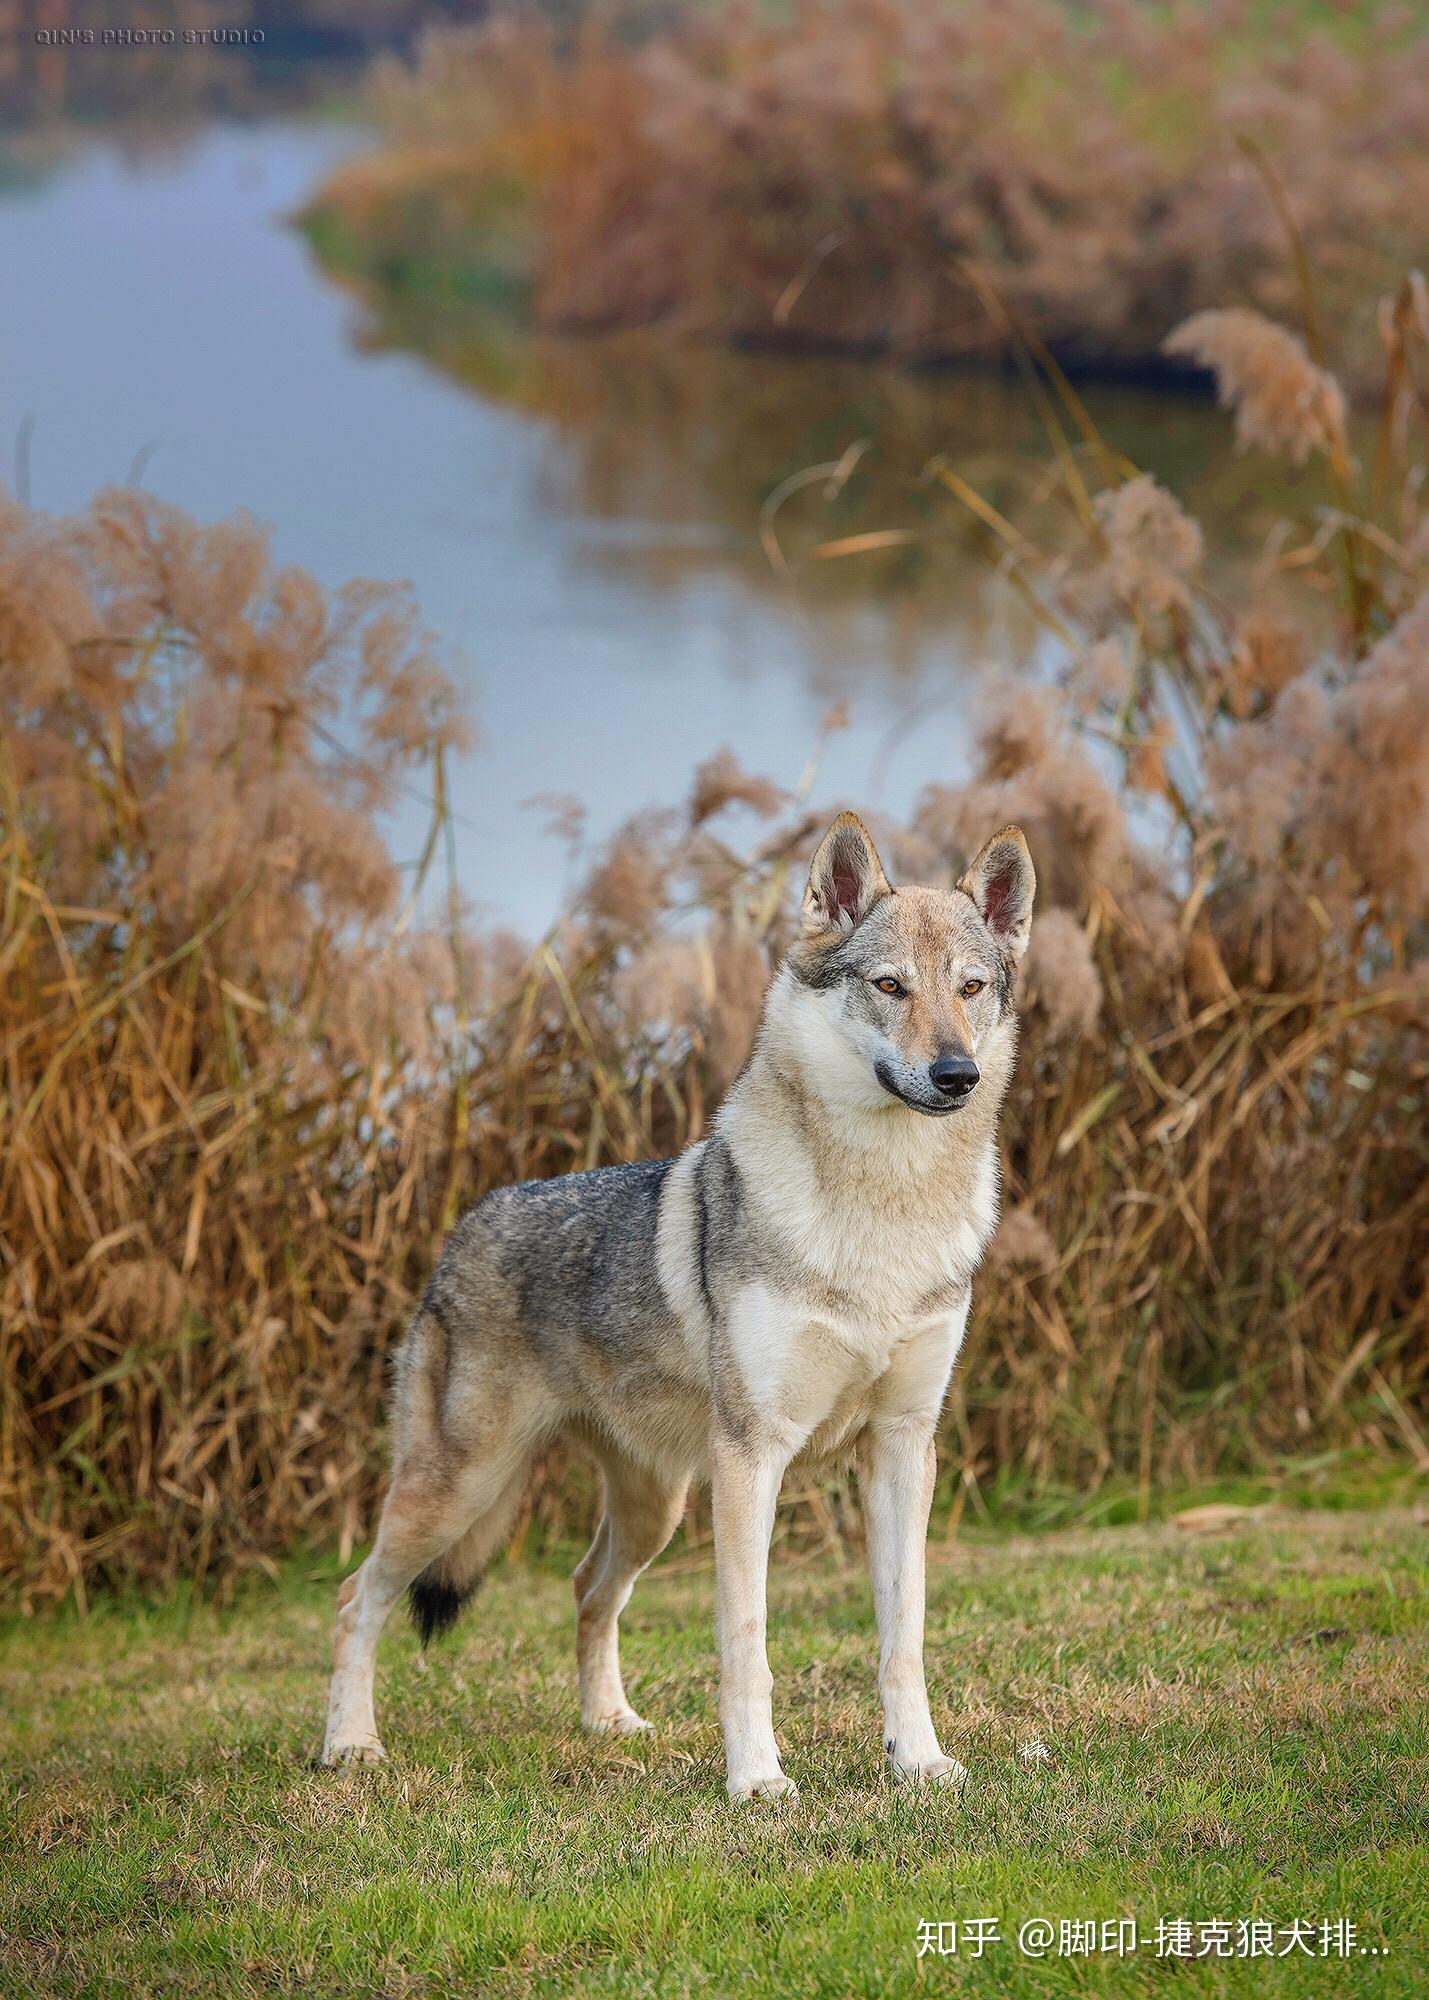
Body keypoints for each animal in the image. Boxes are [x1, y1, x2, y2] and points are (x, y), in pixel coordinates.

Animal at [322, 812, 1032, 1800]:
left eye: (970, 989)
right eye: (890, 986)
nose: (956, 1072)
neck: (880, 1216)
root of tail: (467, 1222)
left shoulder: (901, 1450)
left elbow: (904, 1639)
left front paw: (918, 1761)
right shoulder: (750, 1458)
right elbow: (746, 1644)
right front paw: (757, 1781)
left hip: (649, 1510)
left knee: (585, 1587)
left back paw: (608, 1723)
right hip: (462, 1489)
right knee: (357, 1597)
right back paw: (348, 1746)